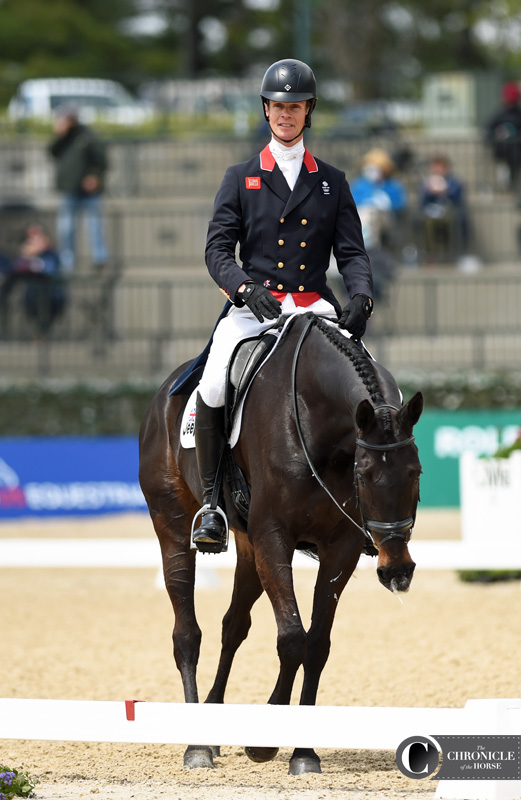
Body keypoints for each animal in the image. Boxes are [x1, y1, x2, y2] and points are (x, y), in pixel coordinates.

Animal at [139, 312, 422, 776]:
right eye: (364, 475)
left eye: (416, 471)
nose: (397, 569)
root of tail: (164, 392)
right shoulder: (274, 536)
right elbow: (291, 638)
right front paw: (263, 742)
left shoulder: (339, 547)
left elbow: (317, 644)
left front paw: (304, 752)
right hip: (173, 525)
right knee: (187, 633)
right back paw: (197, 745)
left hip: (248, 548)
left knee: (233, 626)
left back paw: (212, 729)